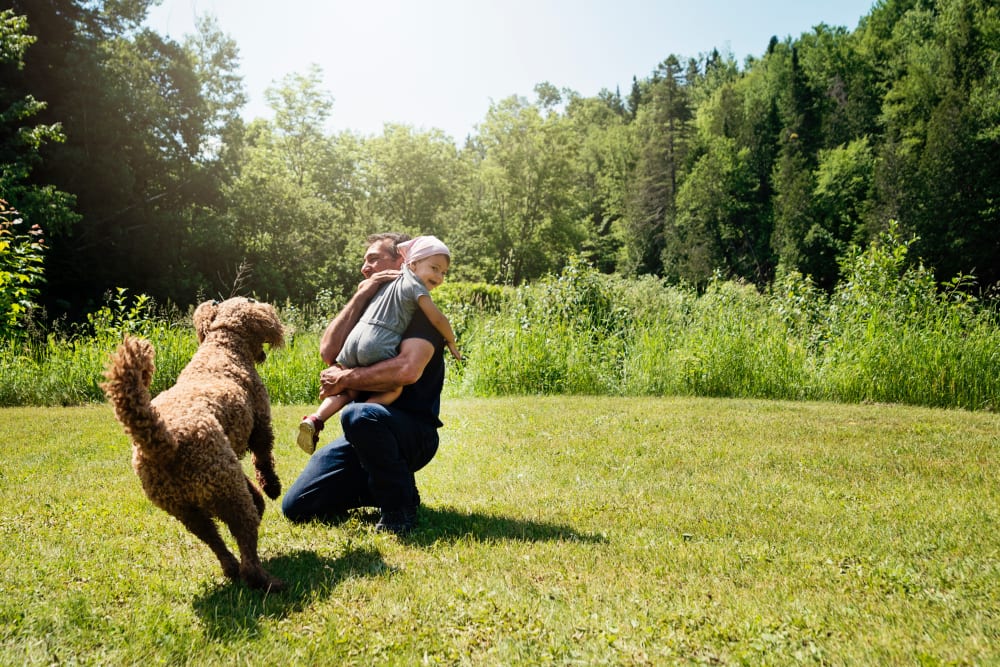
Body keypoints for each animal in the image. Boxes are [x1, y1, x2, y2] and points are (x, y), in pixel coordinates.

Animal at [102, 300, 286, 592]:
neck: (223, 345)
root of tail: (165, 442)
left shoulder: (228, 457)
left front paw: (260, 497)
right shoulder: (260, 423)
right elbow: (263, 458)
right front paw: (271, 488)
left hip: (189, 507)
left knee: (214, 539)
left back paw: (231, 567)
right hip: (226, 492)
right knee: (245, 541)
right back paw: (267, 581)